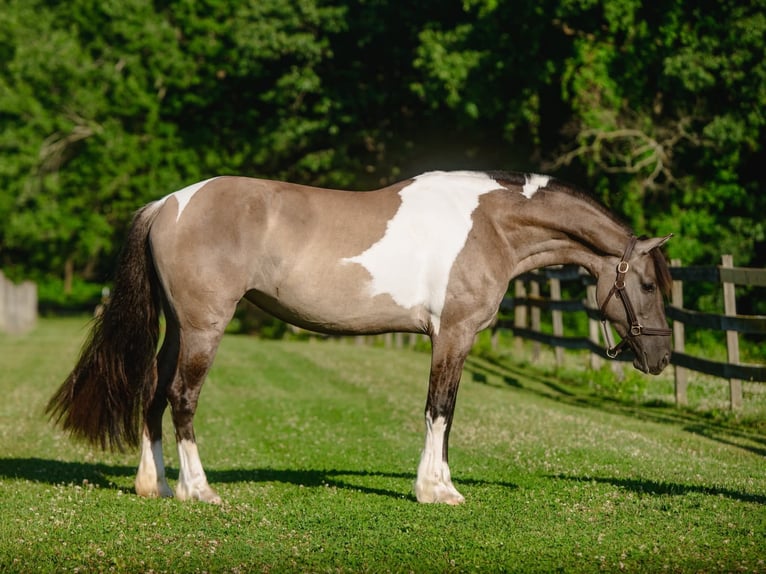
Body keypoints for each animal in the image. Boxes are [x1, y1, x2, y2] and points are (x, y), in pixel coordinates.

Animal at [47, 170, 672, 505]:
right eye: (646, 282)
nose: (662, 356)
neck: (490, 225)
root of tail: (169, 204)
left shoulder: (456, 340)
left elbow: (448, 413)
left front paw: (439, 483)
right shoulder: (452, 335)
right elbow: (439, 410)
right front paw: (435, 490)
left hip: (179, 327)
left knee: (153, 392)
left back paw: (151, 485)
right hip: (204, 327)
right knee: (181, 397)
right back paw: (197, 491)